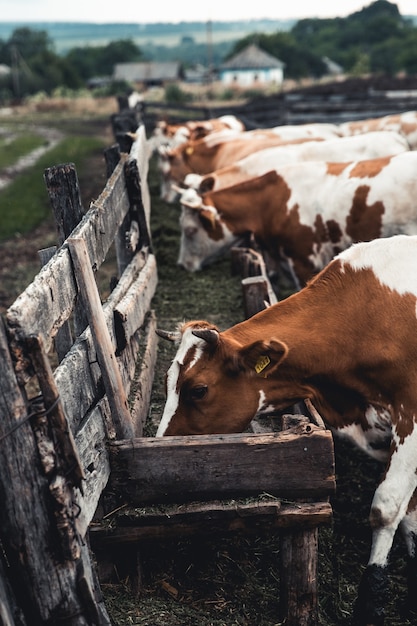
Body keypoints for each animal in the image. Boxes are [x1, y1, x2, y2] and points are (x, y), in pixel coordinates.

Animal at [154, 234, 416, 624]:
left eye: (198, 389)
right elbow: (410, 513)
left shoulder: (411, 418)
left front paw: (371, 604)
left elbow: (386, 506)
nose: (160, 448)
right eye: (167, 381)